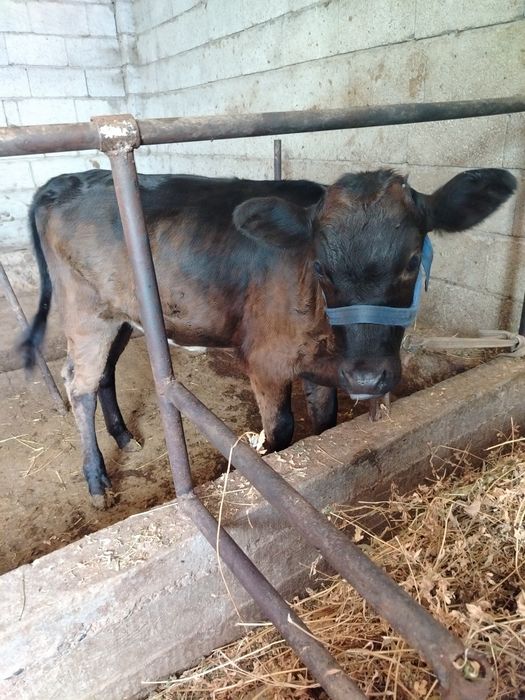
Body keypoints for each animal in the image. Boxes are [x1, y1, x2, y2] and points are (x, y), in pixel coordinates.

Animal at [20, 168, 516, 508]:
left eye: (412, 260)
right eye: (320, 266)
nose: (367, 378)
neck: (328, 338)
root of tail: (66, 180)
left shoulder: (319, 369)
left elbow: (324, 422)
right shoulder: (265, 363)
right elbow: (280, 433)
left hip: (123, 314)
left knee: (105, 372)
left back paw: (124, 437)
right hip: (86, 312)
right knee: (79, 385)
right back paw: (96, 480)